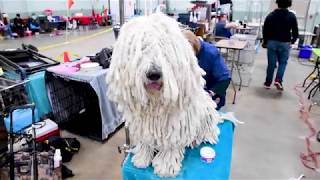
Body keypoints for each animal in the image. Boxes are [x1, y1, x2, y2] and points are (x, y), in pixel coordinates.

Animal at [106, 13, 224, 177]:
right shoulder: (143, 125)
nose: (154, 74)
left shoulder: (175, 128)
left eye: (165, 49)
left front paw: (165, 167)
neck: (155, 103)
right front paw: (142, 158)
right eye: (141, 48)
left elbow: (170, 146)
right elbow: (145, 142)